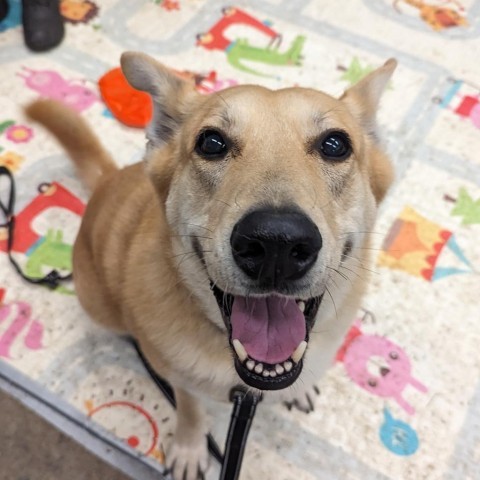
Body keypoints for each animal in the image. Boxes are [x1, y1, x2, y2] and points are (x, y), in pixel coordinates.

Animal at [25, 52, 394, 480]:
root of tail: (107, 179)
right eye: (211, 142)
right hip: (99, 304)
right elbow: (190, 410)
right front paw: (189, 449)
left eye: (335, 144)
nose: (277, 243)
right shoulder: (180, 378)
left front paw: (301, 390)